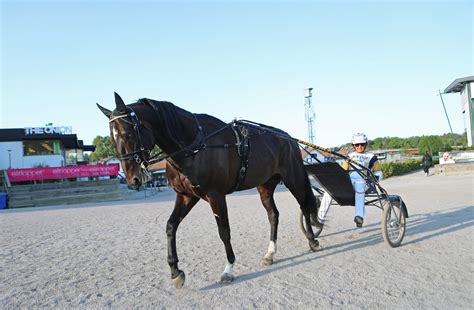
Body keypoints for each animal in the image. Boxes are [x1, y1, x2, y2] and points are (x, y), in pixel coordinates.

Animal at [97, 92, 318, 288]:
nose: (133, 179)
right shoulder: (186, 196)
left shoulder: (216, 196)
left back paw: (312, 240)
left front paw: (228, 269)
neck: (194, 147)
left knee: (305, 205)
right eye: (112, 137)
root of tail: (288, 138)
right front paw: (175, 272)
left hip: (293, 179)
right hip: (265, 185)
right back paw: (270, 253)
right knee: (273, 214)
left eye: (127, 133)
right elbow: (170, 226)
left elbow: (224, 231)